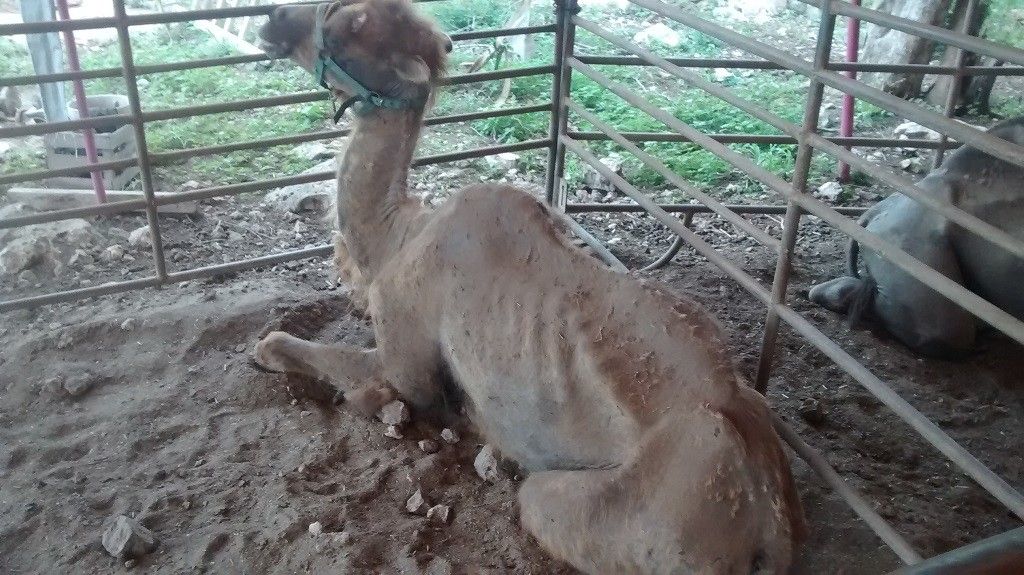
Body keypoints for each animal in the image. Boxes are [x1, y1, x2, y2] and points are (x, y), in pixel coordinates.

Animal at [253, 1, 805, 572]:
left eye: (350, 24)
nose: (273, 19)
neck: (395, 238)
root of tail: (771, 525)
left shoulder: (405, 345)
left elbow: (355, 370)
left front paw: (281, 356)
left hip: (641, 517)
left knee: (539, 501)